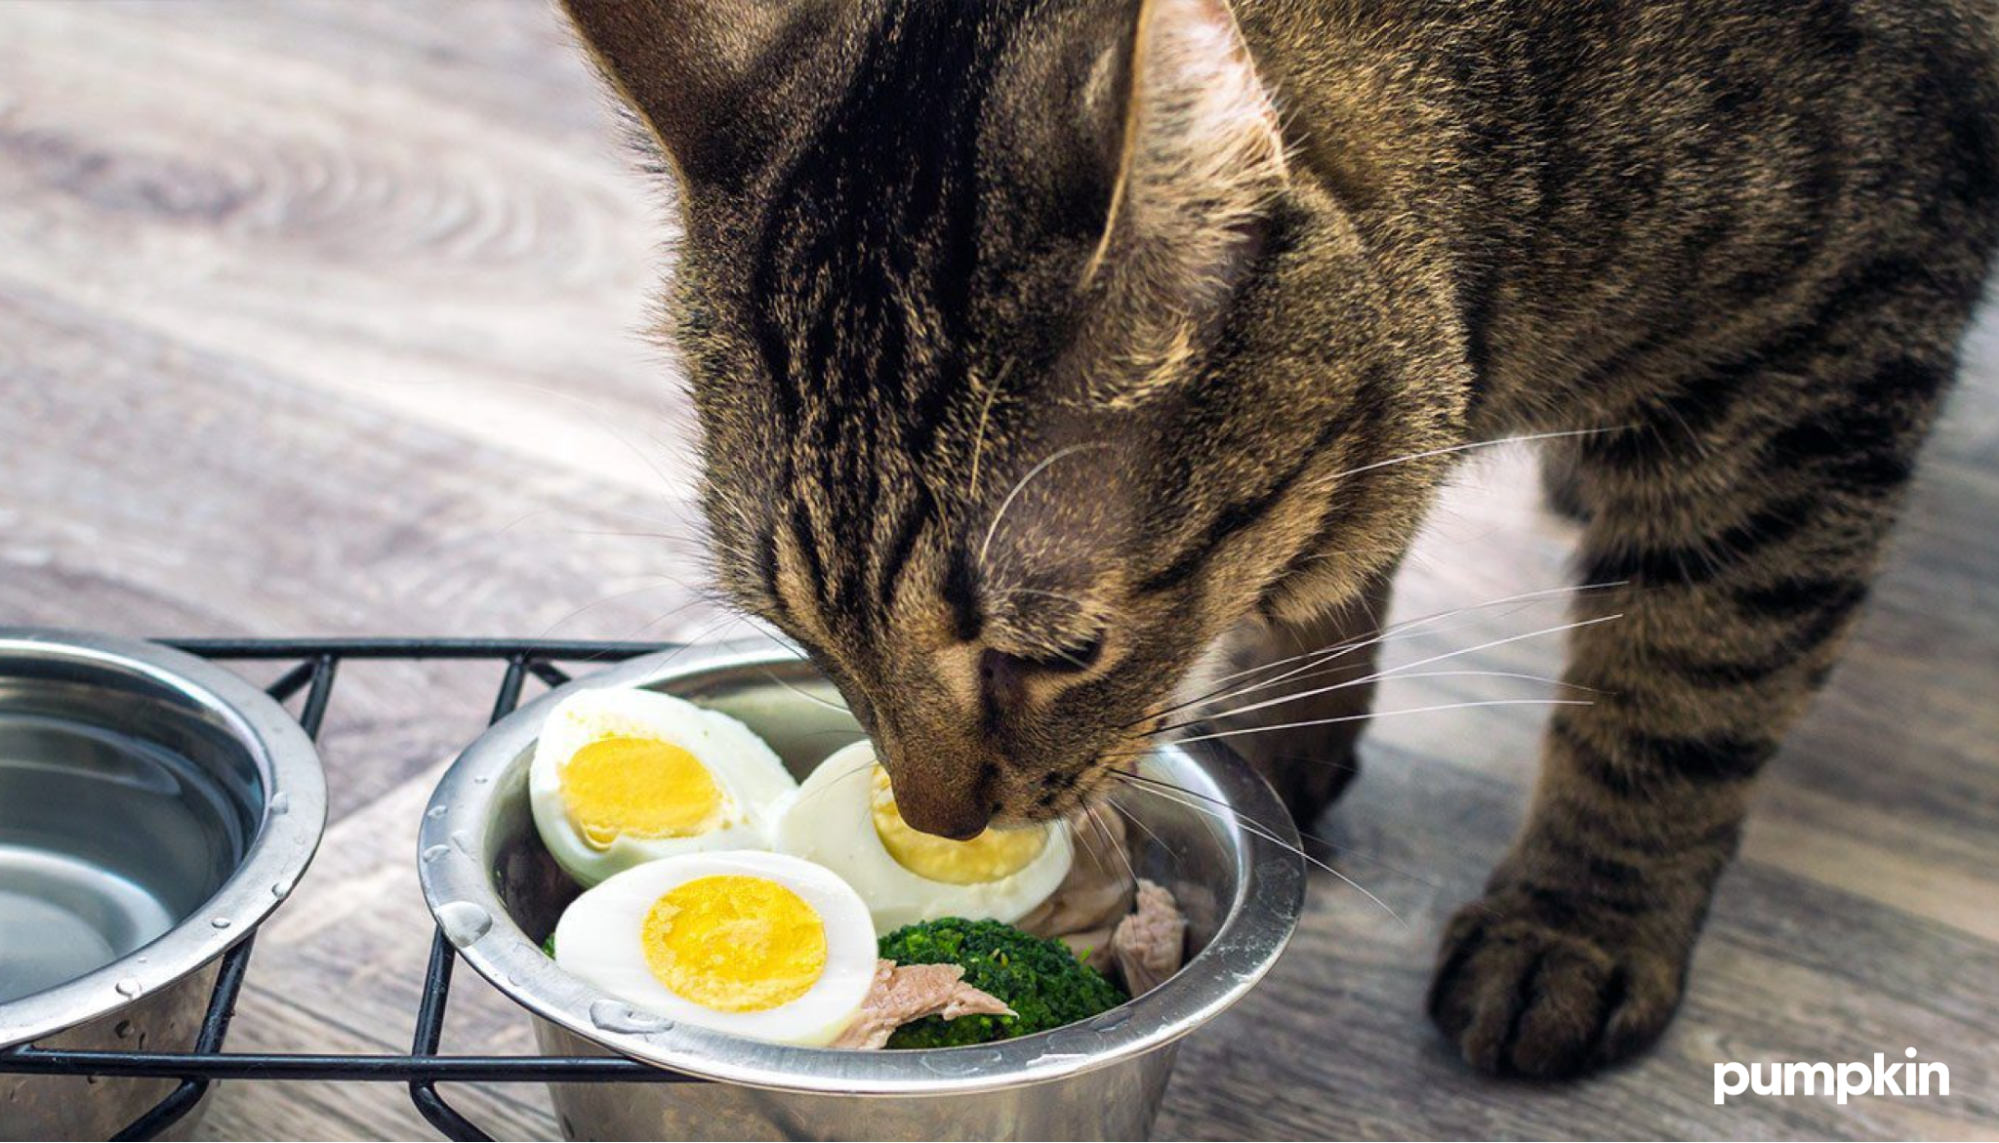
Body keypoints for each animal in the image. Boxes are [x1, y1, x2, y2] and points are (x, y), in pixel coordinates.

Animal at [555, 0, 1991, 1079]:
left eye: (1057, 650)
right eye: (799, 631)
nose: (933, 823)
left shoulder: (1811, 364)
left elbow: (1680, 685)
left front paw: (1575, 919)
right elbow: (1328, 575)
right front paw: (1286, 734)